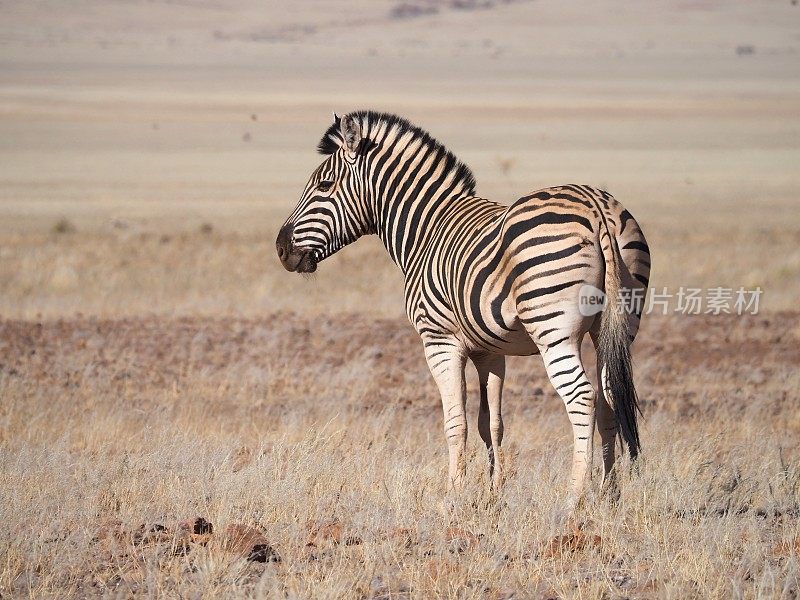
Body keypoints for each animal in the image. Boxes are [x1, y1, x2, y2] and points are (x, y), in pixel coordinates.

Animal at [276, 110, 648, 504]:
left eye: (325, 185)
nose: (281, 248)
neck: (426, 231)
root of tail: (596, 207)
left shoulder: (439, 341)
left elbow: (456, 422)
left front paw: (453, 495)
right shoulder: (490, 349)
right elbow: (491, 423)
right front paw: (494, 493)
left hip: (553, 329)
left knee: (581, 397)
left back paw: (574, 497)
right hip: (616, 326)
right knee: (609, 397)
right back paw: (609, 495)